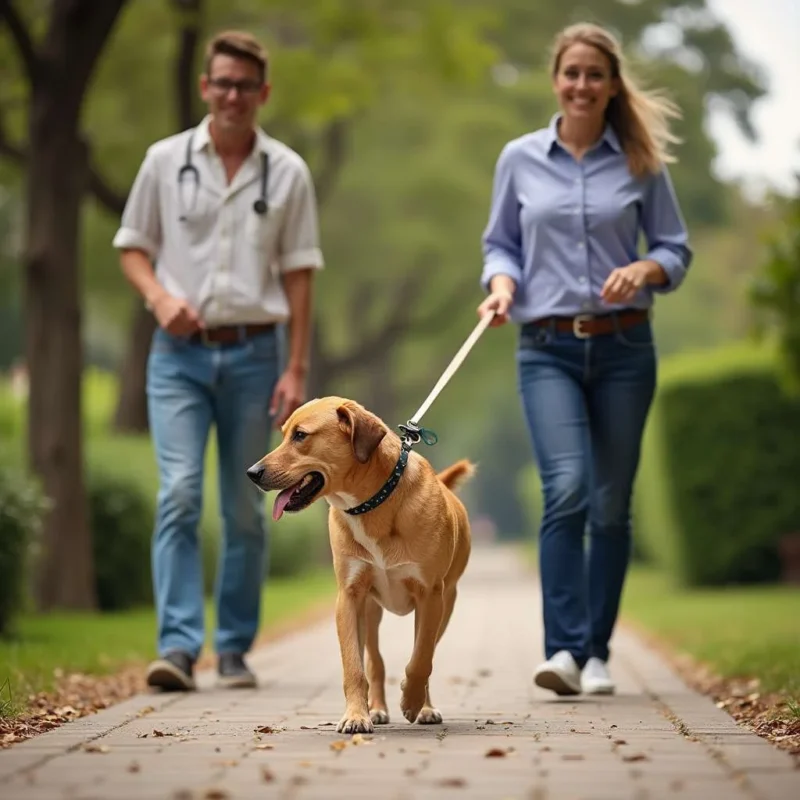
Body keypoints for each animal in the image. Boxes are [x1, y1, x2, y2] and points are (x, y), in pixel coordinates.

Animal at [247, 396, 472, 736]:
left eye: (300, 435)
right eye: (284, 432)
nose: (252, 472)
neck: (373, 503)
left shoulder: (431, 595)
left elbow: (421, 658)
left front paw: (411, 701)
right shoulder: (350, 596)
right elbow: (354, 666)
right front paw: (356, 715)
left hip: (445, 604)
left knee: (425, 651)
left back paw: (424, 706)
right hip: (371, 609)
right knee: (375, 661)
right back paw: (376, 709)